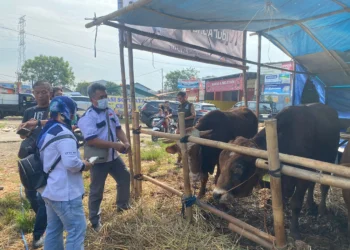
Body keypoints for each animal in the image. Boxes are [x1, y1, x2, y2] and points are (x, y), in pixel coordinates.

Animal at [212, 102, 340, 239]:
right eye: (221, 162)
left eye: (238, 167)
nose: (216, 194)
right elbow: (282, 199)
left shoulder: (302, 176)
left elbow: (296, 203)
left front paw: (294, 231)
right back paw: (309, 205)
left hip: (329, 159)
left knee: (323, 186)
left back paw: (321, 209)